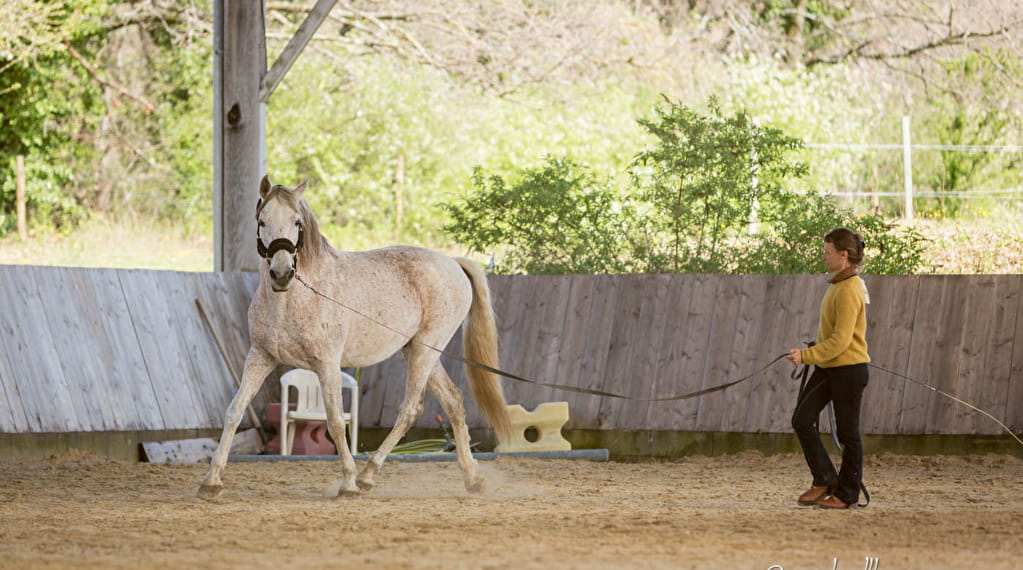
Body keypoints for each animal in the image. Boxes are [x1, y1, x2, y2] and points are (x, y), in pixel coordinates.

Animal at [198, 176, 511, 495]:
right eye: (262, 221)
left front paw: (348, 482)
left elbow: (336, 422)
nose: (282, 274)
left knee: (410, 409)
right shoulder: (260, 357)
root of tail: (452, 262)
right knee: (453, 402)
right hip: (419, 351)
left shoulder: (327, 364)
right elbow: (234, 411)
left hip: (426, 351)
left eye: (297, 222)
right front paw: (211, 481)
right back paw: (472, 477)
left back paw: (367, 474)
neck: (290, 299)